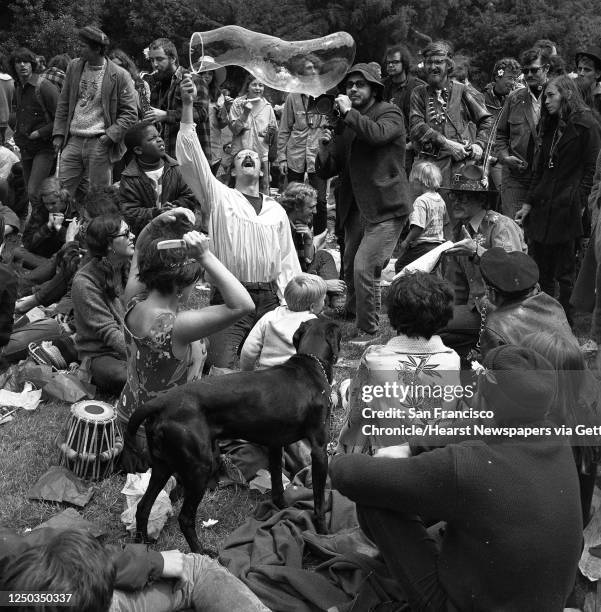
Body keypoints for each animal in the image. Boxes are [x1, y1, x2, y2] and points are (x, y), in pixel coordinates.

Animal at [126, 318, 340, 552]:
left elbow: (277, 487)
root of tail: (162, 402)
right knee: (185, 518)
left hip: (163, 465)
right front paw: (324, 534)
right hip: (199, 468)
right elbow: (319, 501)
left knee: (143, 507)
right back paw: (201, 552)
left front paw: (284, 509)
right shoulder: (319, 450)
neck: (310, 364)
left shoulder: (275, 445)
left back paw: (143, 545)